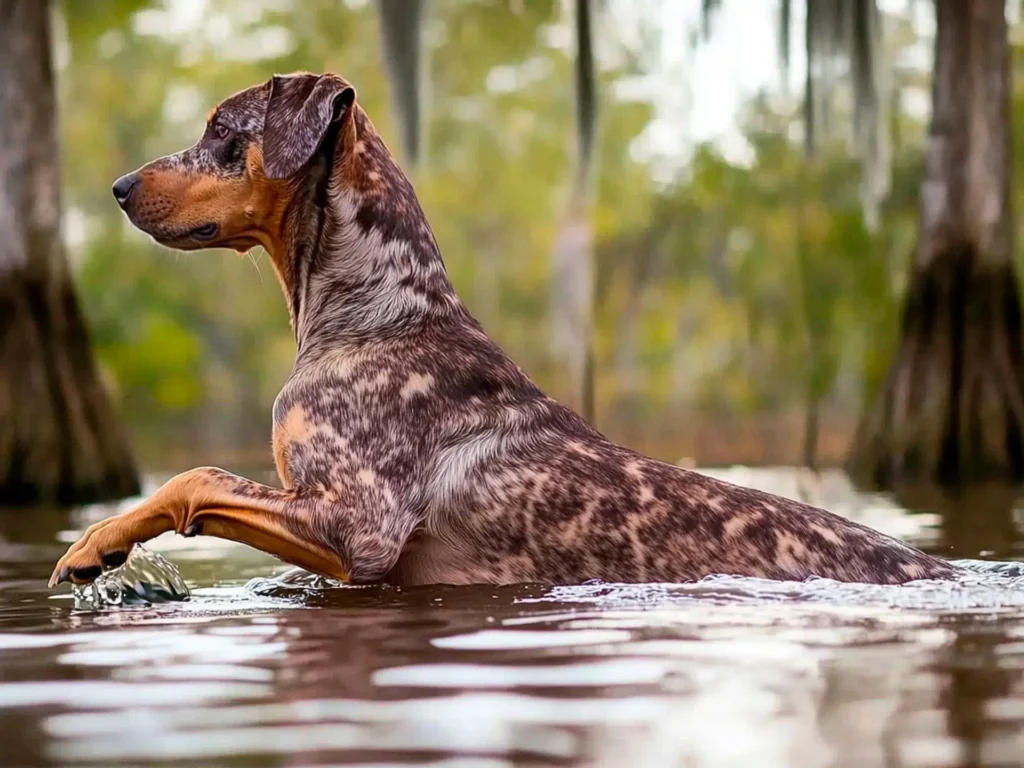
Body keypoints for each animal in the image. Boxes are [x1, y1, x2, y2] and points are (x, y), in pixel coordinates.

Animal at [49, 72, 958, 589]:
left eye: (220, 130)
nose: (118, 187)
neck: (382, 313)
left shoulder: (359, 527)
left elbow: (191, 479)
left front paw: (93, 544)